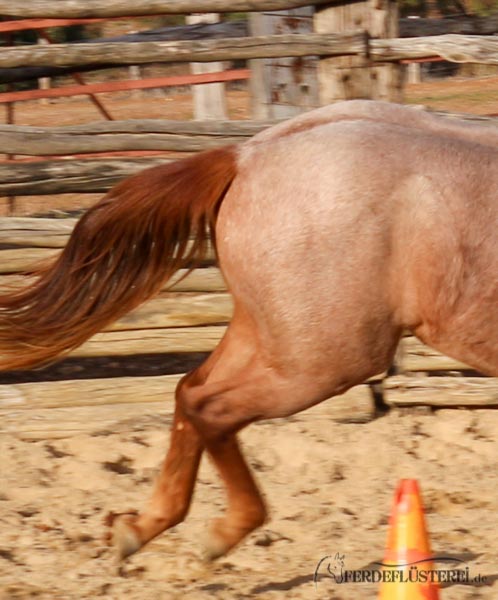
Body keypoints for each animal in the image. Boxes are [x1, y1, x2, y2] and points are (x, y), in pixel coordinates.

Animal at [0, 101, 496, 560]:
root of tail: (246, 155)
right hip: (322, 361)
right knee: (210, 407)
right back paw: (223, 531)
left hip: (266, 335)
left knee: (188, 392)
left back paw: (142, 526)